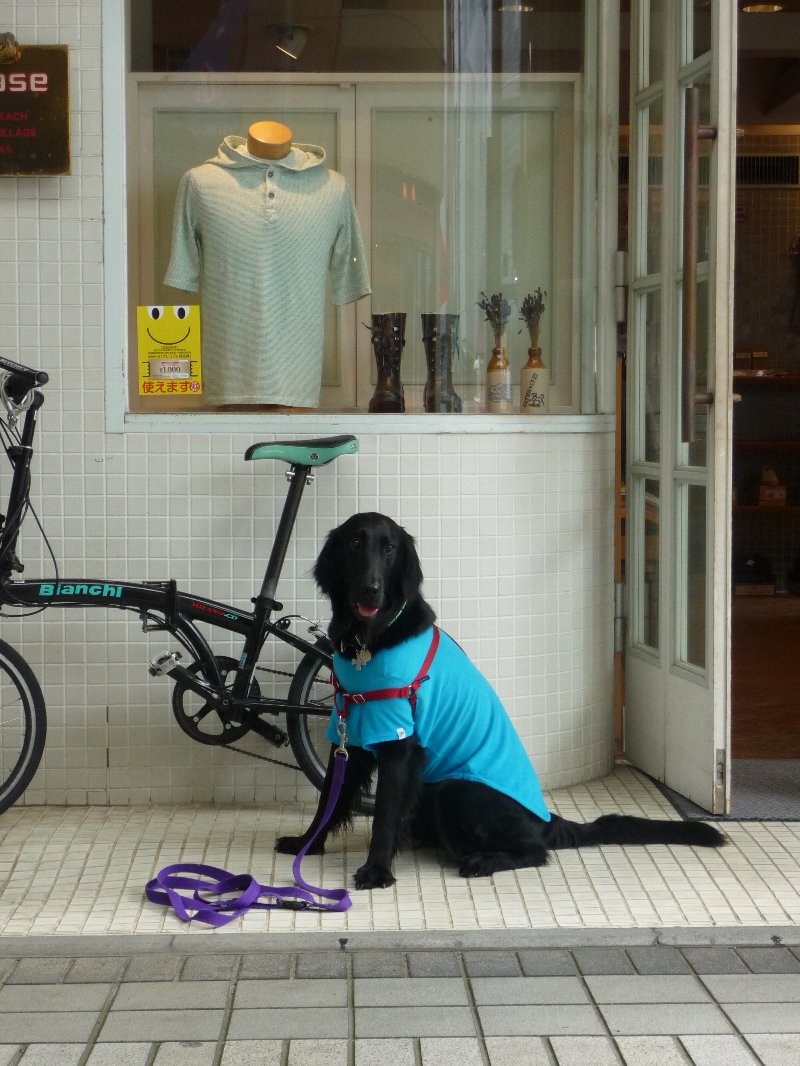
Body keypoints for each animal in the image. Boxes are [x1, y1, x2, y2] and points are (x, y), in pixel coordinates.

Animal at [276, 512, 725, 890]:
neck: (370, 638)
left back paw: (481, 860)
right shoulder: (349, 730)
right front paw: (306, 843)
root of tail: (546, 820)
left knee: (536, 851)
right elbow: (329, 799)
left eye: (389, 549)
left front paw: (376, 871)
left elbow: (384, 815)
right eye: (355, 543)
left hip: (454, 789)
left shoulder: (399, 744)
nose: (371, 589)